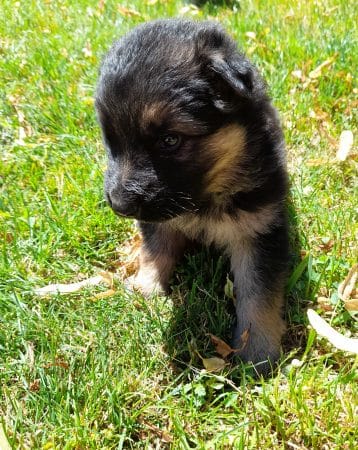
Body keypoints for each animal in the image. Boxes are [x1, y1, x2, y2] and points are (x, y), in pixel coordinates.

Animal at [94, 18, 288, 376]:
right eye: (110, 140)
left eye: (170, 140)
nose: (120, 206)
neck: (205, 198)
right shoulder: (157, 219)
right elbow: (155, 250)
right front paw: (147, 286)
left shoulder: (259, 228)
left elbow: (258, 292)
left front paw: (257, 351)